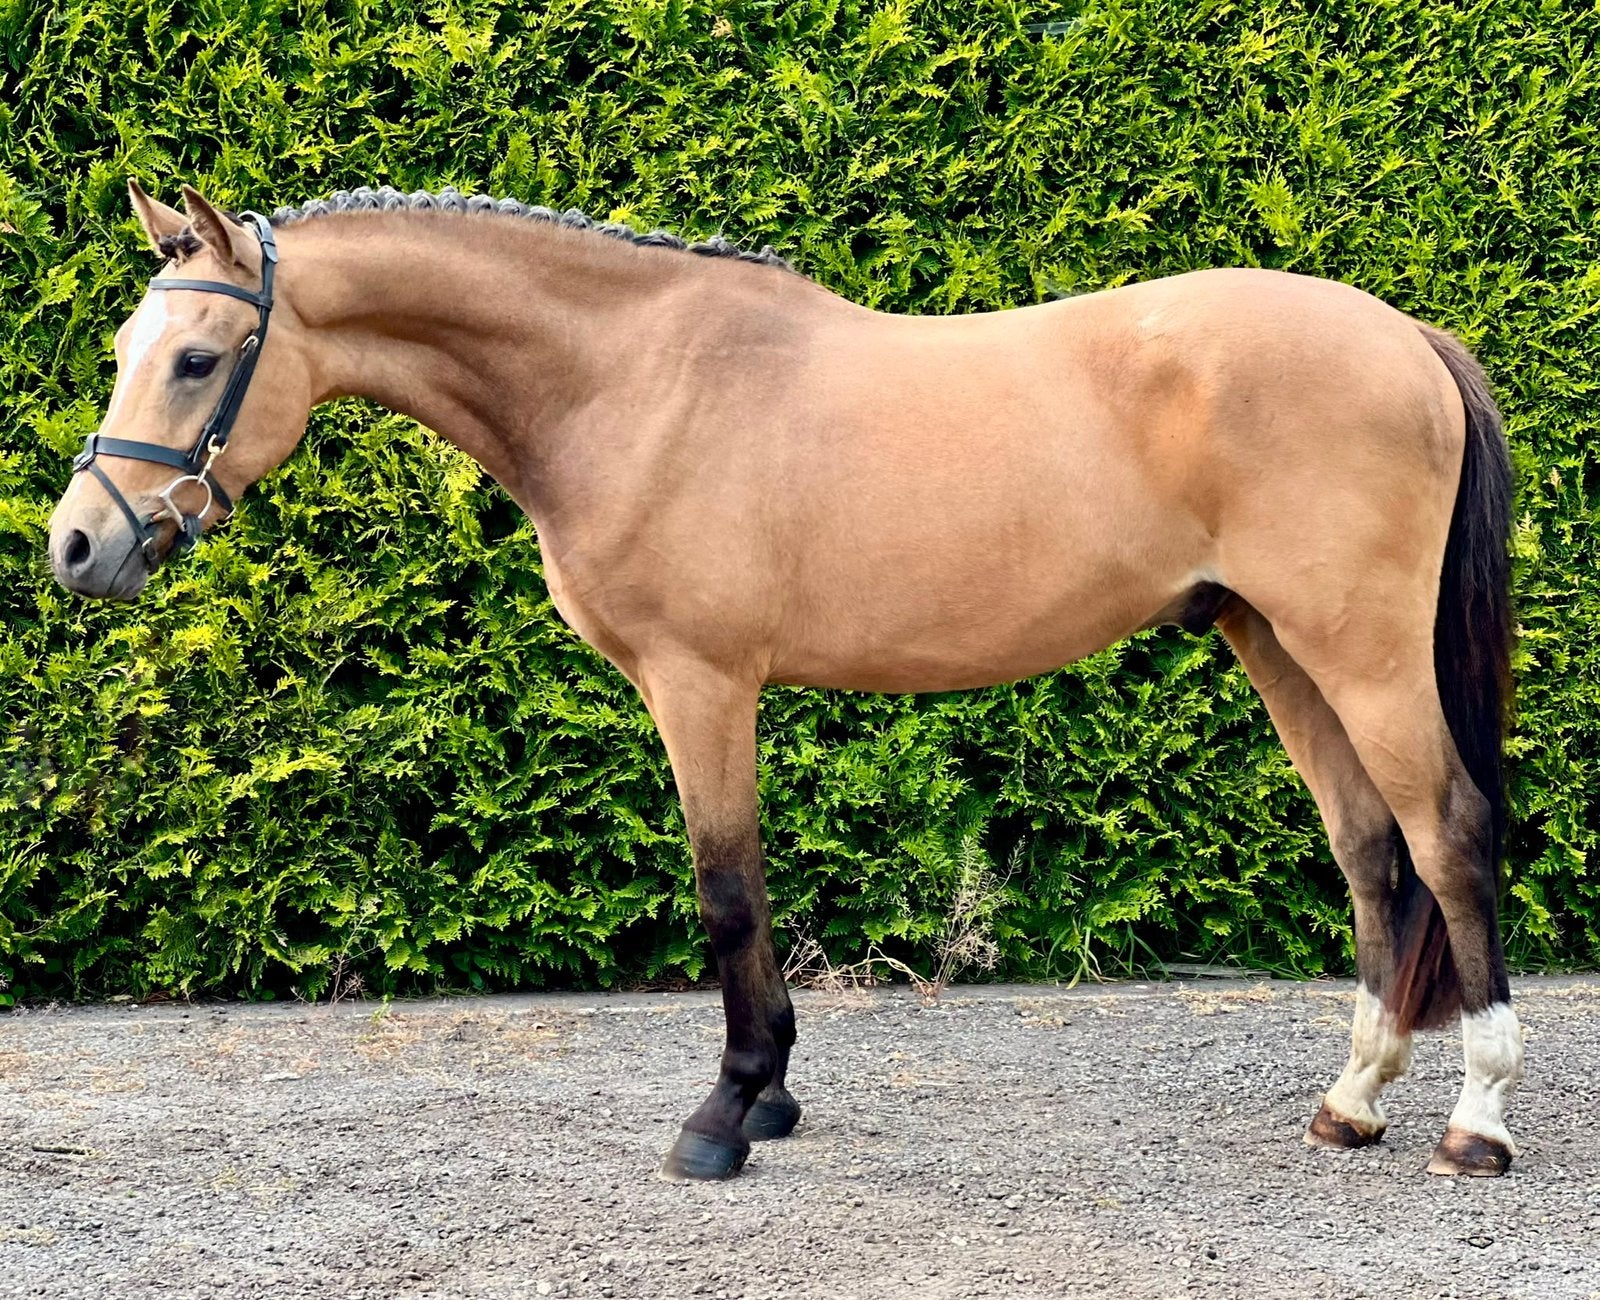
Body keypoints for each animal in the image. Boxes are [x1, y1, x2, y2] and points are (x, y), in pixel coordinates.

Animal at [46, 181, 1521, 1181]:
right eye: (126, 349)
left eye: (194, 359)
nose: (77, 546)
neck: (629, 382)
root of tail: (1407, 338)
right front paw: (769, 1098)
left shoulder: (699, 683)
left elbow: (727, 896)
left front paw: (727, 1113)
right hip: (1273, 640)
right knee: (1372, 850)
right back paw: (1352, 1102)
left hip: (1357, 648)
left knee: (1447, 835)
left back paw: (1474, 1120)